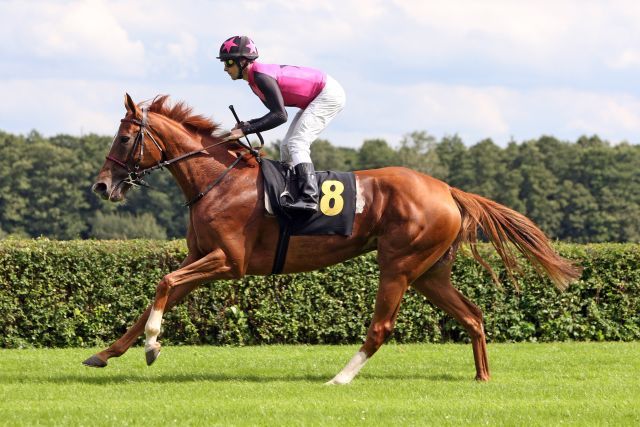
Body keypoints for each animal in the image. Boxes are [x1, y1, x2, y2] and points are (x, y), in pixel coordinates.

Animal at [86, 93, 584, 384]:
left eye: (125, 136)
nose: (102, 186)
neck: (218, 180)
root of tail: (446, 189)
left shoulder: (230, 261)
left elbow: (164, 284)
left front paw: (153, 345)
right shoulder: (203, 257)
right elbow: (156, 296)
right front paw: (106, 353)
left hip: (398, 265)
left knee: (381, 327)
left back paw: (340, 378)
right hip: (429, 273)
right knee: (474, 316)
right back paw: (482, 378)